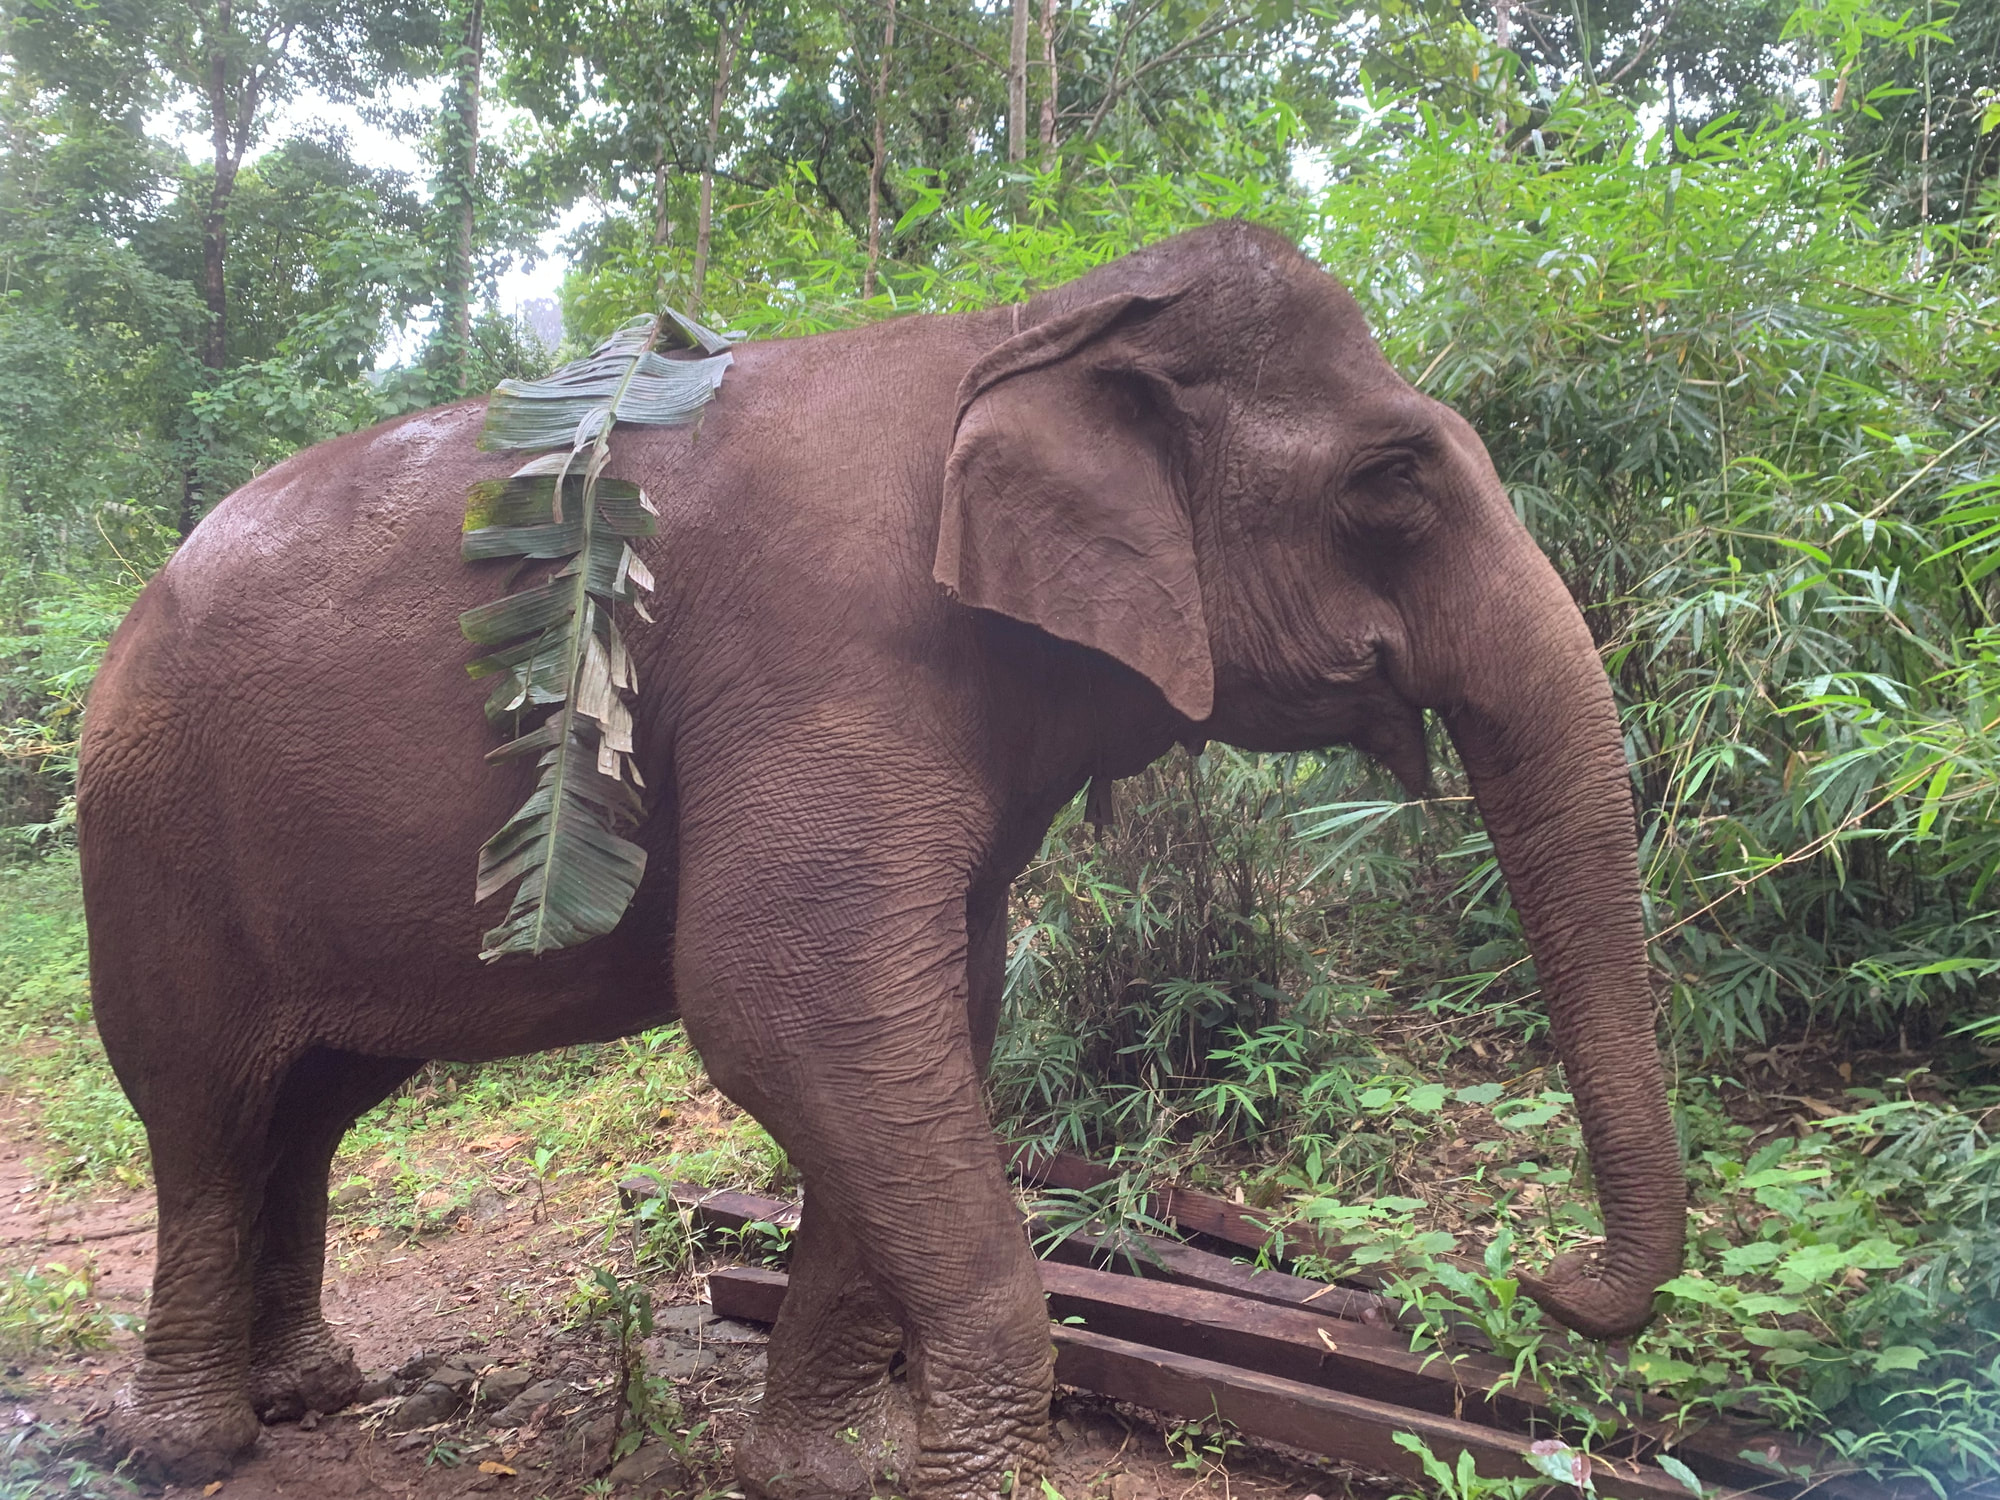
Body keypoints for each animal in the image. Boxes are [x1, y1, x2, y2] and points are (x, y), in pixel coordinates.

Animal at [78, 220, 1686, 1497]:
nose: (1545, 1281)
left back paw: (313, 1392)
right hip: (151, 842)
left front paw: (818, 1474)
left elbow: (920, 1027)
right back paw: (190, 1446)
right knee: (204, 1112)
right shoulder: (829, 660)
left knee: (311, 1108)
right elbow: (785, 1003)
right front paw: (967, 1483)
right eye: (1394, 480)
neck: (1021, 332)